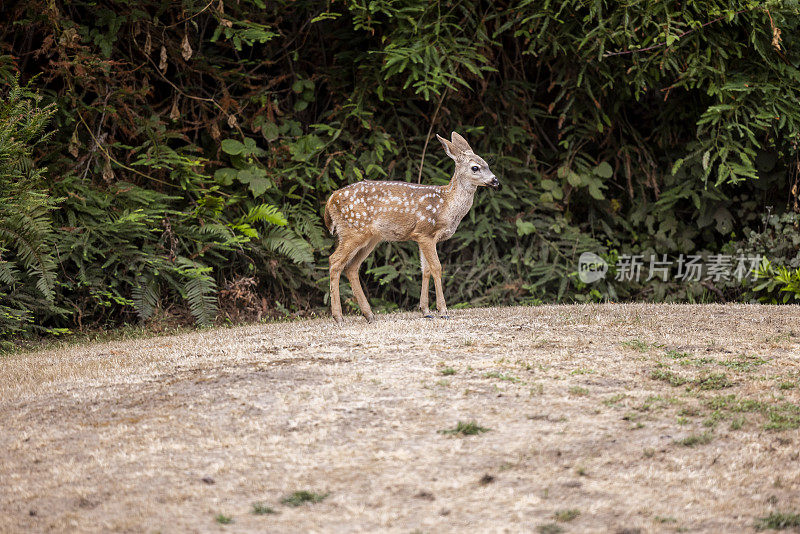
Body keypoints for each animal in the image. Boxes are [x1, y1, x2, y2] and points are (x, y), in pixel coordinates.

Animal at [322, 133, 496, 326]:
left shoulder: (421, 236)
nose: (495, 180)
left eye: (487, 164)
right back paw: (338, 317)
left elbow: (425, 270)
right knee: (334, 261)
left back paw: (369, 315)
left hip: (370, 238)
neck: (446, 205)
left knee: (351, 267)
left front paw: (426, 310)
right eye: (475, 167)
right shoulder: (426, 232)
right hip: (353, 230)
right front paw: (443, 310)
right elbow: (437, 267)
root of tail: (330, 200)